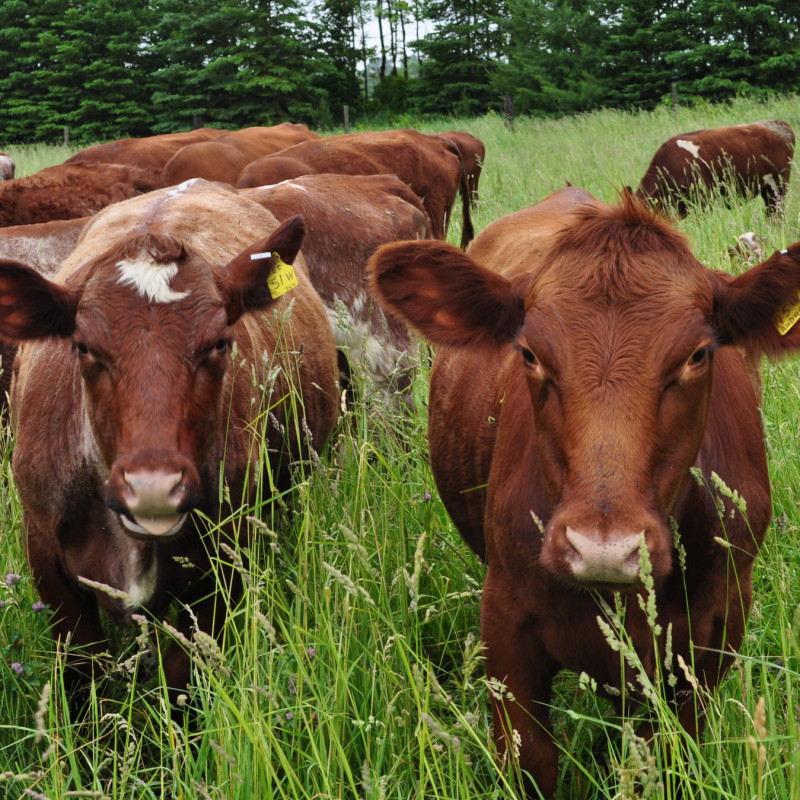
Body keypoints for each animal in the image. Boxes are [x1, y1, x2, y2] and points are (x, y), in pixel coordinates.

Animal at [0, 178, 340, 706]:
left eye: (219, 343)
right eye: (83, 347)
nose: (154, 488)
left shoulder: (223, 566)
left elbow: (182, 685)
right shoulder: (46, 560)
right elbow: (84, 680)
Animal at [368, 184, 800, 798]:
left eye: (698, 354)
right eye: (528, 354)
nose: (604, 550)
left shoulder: (716, 630)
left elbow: (663, 759)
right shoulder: (505, 623)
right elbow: (531, 761)